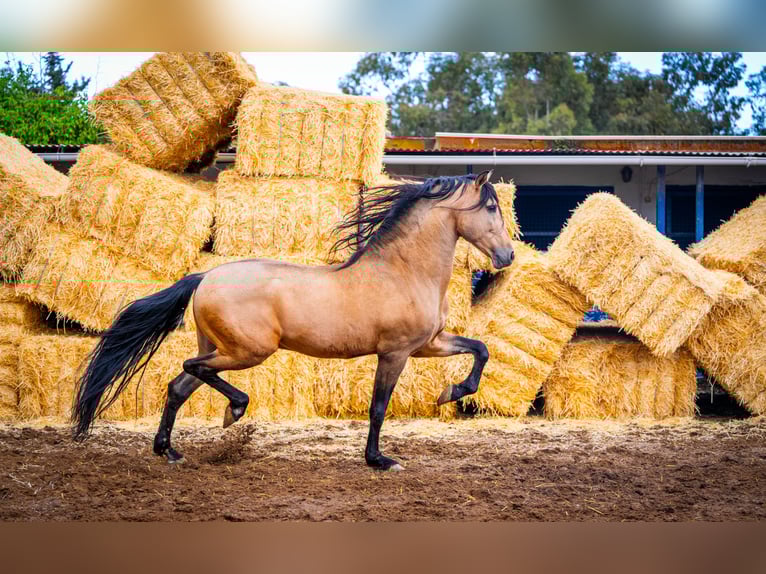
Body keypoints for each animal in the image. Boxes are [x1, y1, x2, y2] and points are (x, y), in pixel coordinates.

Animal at [71, 170, 515, 471]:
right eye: (491, 207)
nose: (508, 256)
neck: (404, 271)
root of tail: (205, 276)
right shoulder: (395, 352)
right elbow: (378, 407)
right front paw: (379, 460)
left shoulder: (427, 345)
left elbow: (481, 349)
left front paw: (452, 392)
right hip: (247, 351)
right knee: (191, 369)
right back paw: (233, 411)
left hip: (220, 347)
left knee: (179, 386)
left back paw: (170, 450)